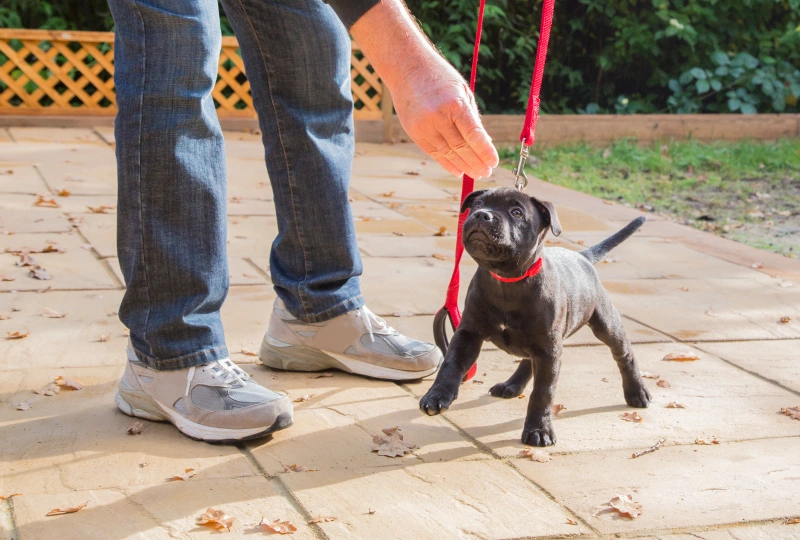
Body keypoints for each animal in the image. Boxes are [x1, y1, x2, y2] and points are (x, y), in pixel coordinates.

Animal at [418, 188, 648, 446]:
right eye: (477, 204)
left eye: (516, 212)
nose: (481, 215)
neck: (507, 280)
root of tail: (583, 257)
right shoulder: (468, 334)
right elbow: (451, 363)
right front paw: (437, 395)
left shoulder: (549, 350)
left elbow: (543, 392)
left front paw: (539, 429)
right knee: (528, 359)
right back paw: (512, 384)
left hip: (604, 324)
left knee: (624, 354)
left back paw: (637, 392)